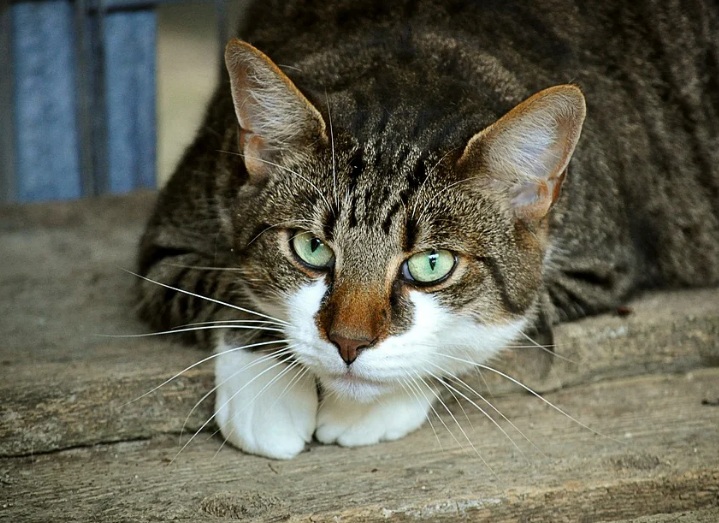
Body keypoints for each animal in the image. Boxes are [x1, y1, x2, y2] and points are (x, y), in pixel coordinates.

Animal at [135, 0, 719, 458]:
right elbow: (228, 287)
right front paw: (269, 398)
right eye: (312, 248)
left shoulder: (600, 262)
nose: (348, 343)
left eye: (431, 264)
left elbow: (497, 326)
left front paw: (366, 409)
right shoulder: (171, 236)